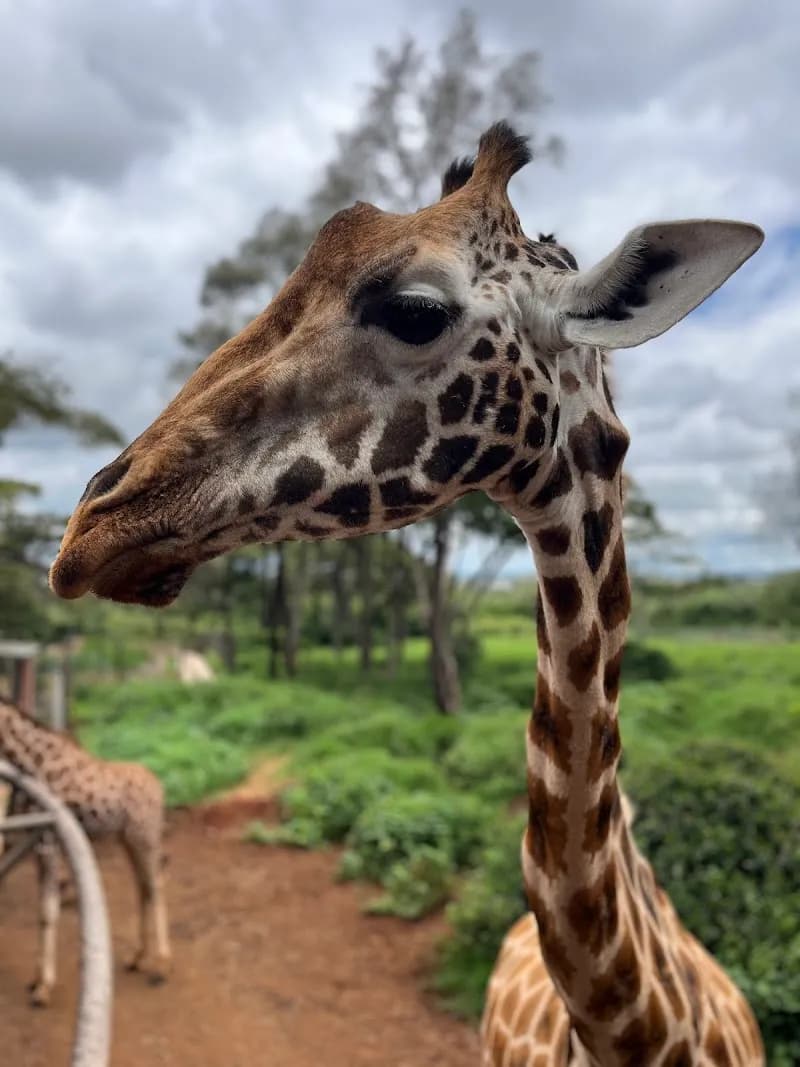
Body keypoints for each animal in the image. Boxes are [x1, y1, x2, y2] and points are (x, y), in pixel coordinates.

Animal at [0, 697, 170, 1005]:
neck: (33, 763)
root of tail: (159, 786)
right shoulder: (36, 847)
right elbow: (43, 912)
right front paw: (35, 981)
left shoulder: (48, 843)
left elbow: (48, 911)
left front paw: (44, 988)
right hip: (127, 839)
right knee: (143, 886)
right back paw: (137, 957)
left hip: (145, 836)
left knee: (156, 884)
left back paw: (162, 965)